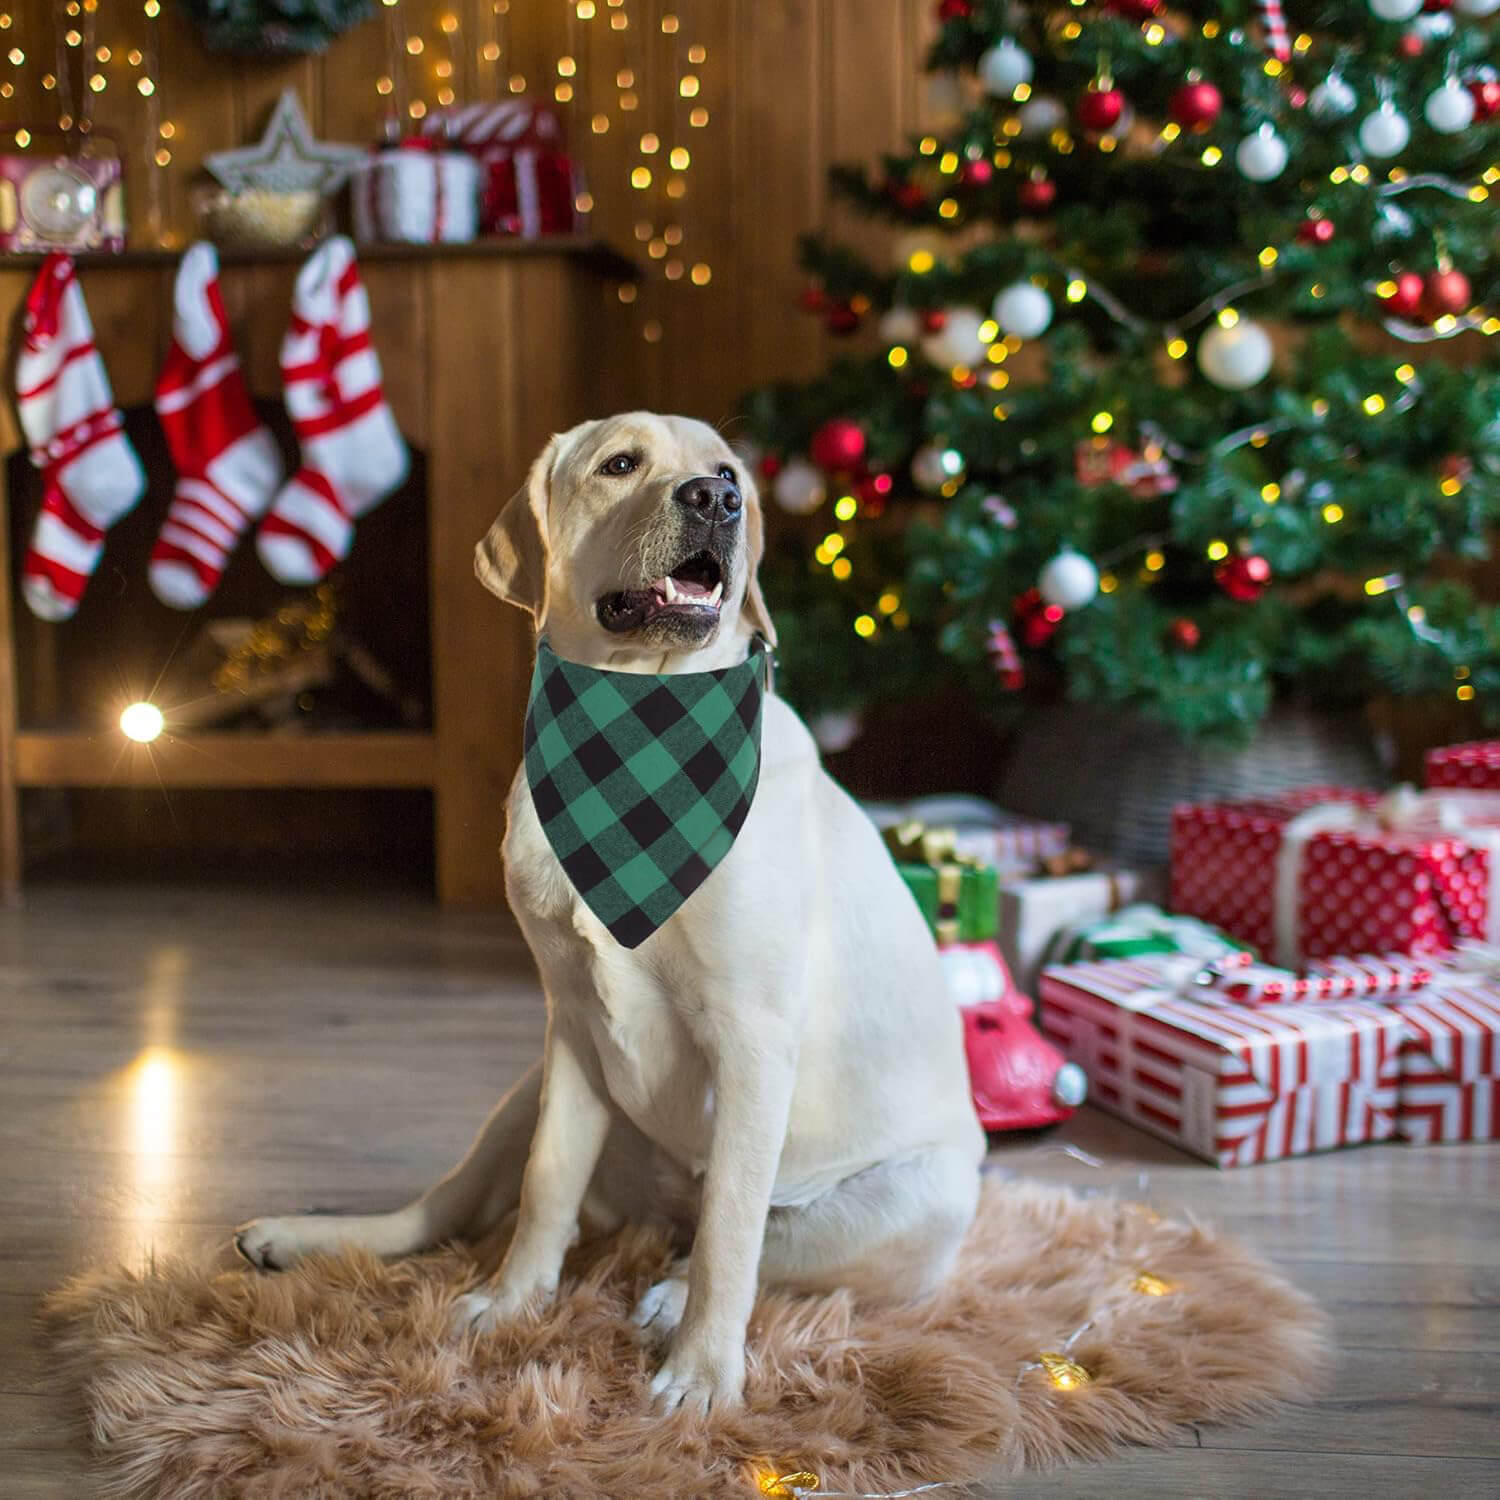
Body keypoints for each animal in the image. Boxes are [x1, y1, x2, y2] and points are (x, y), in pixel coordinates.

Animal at [234, 417, 984, 1410]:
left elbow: (734, 1232)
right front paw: (513, 1302)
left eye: (729, 471)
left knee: (758, 1248)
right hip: (526, 1087)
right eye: (620, 465)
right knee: (445, 1210)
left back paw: (668, 1298)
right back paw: (311, 1237)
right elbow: (545, 1187)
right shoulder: (573, 1024)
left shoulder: (755, 1040)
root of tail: (655, 1213)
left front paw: (702, 1374)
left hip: (921, 1196)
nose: (716, 500)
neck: (635, 721)